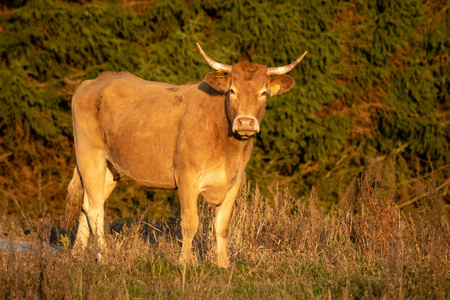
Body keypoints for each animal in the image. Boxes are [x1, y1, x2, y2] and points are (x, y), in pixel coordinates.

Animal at [66, 42, 306, 268]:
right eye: (232, 90)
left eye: (263, 93)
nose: (245, 123)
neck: (227, 147)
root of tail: (95, 81)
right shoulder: (186, 177)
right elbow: (190, 223)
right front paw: (185, 262)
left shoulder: (235, 181)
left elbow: (222, 226)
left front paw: (223, 264)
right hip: (90, 155)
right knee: (96, 210)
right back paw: (104, 258)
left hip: (109, 167)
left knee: (87, 205)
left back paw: (76, 256)